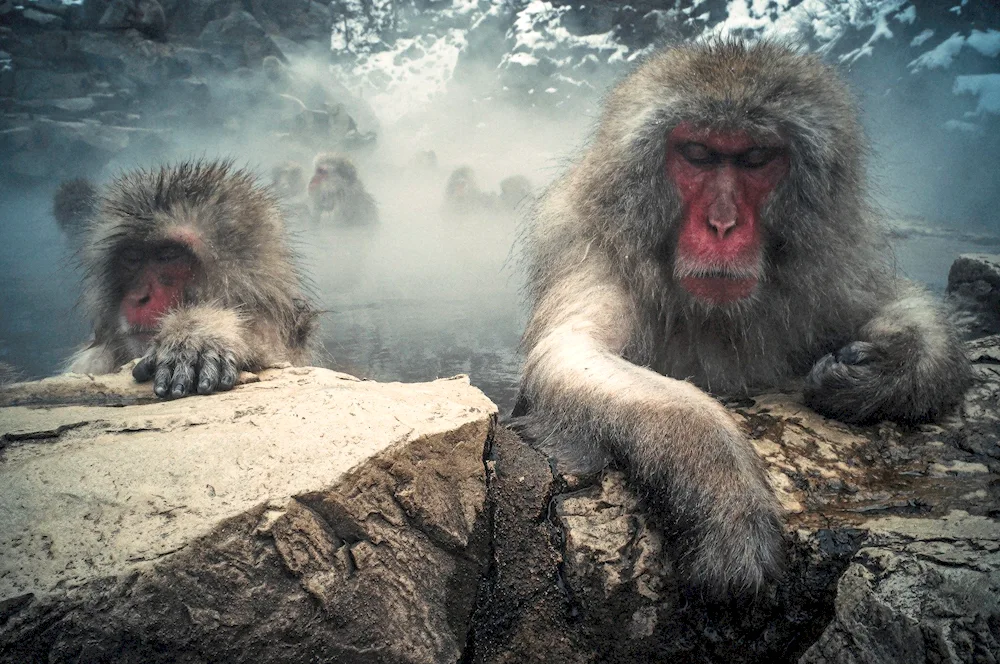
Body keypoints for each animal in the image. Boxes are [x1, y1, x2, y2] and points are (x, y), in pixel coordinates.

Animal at [516, 42, 968, 596]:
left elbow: (896, 299)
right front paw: (720, 480)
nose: (723, 224)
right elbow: (571, 352)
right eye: (697, 155)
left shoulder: (828, 271)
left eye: (756, 158)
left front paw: (884, 371)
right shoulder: (595, 259)